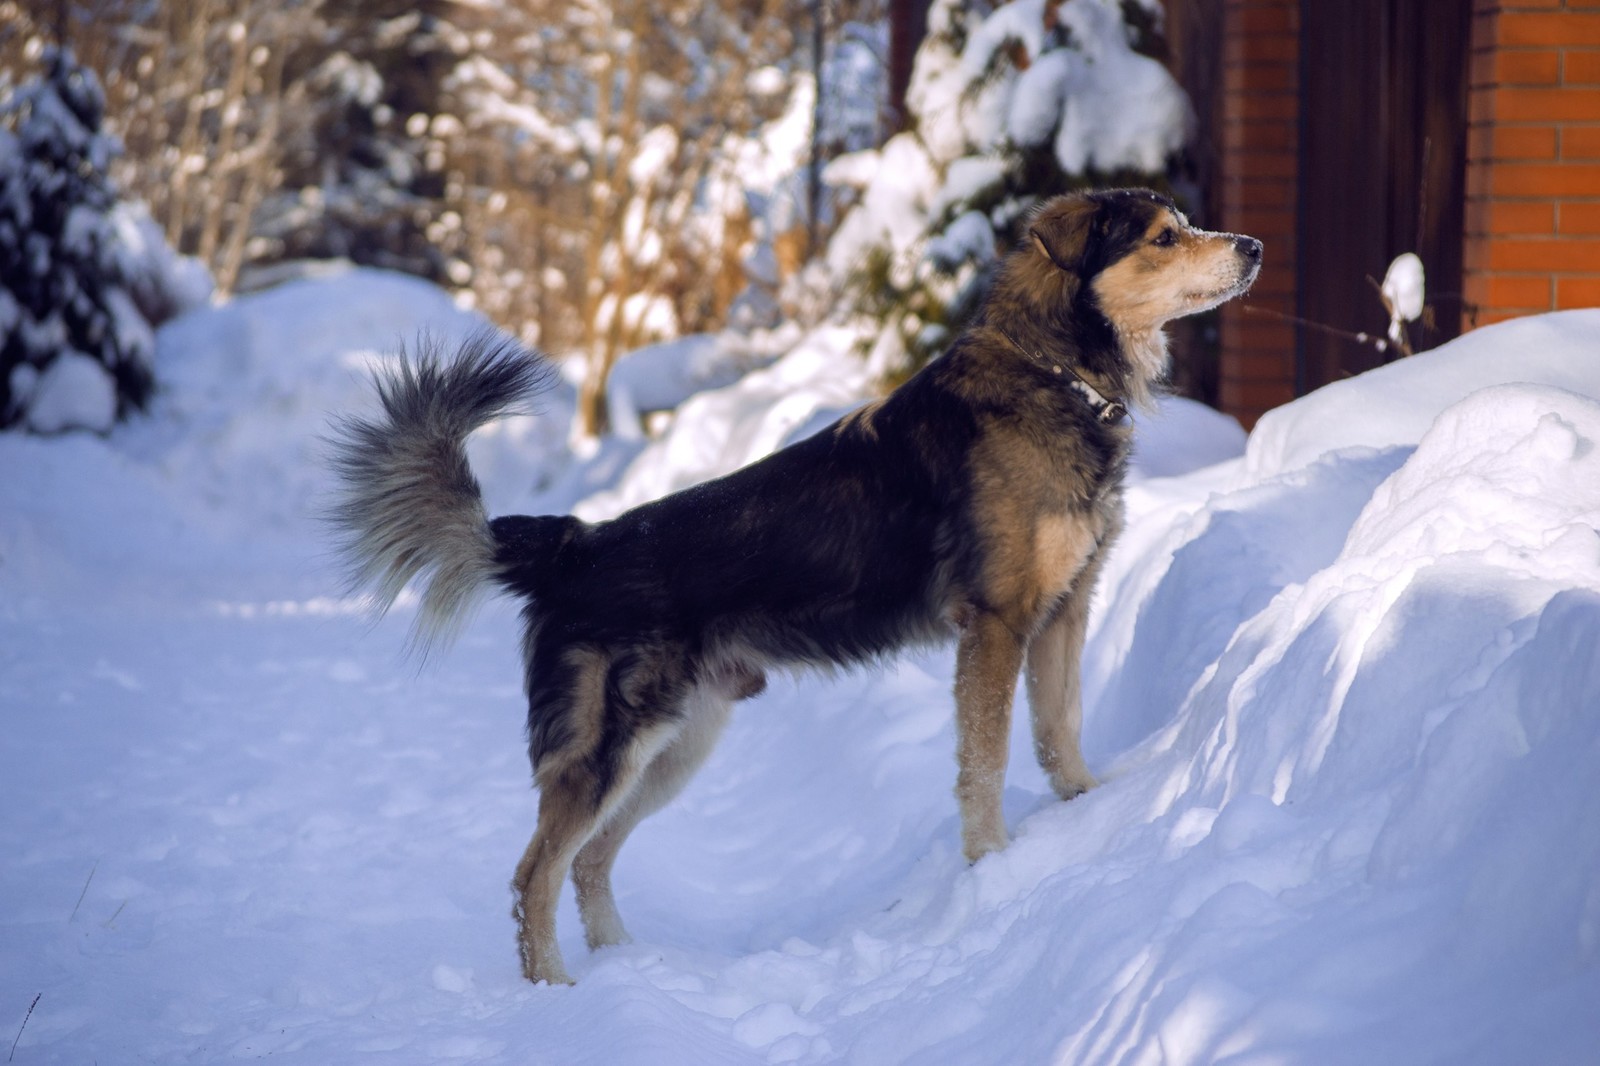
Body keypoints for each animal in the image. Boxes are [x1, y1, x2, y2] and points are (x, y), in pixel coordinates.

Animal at [328, 184, 1260, 979]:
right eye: (1164, 236)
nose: (1252, 244)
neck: (1053, 373)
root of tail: (577, 546)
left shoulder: (1065, 608)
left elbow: (1060, 734)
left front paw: (1083, 812)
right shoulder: (995, 625)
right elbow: (986, 764)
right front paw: (993, 867)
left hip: (679, 744)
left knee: (589, 860)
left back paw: (627, 967)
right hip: (609, 748)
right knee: (534, 877)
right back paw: (554, 991)